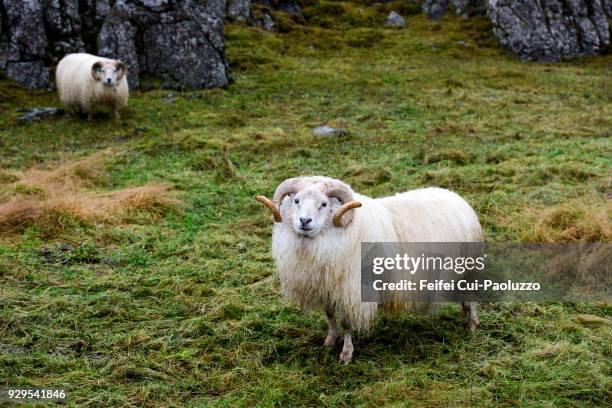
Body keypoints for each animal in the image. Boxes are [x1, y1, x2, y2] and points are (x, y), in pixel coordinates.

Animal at [256, 175, 480, 364]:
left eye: (324, 204)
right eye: (296, 201)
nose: (304, 221)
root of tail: (456, 196)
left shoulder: (352, 290)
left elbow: (346, 322)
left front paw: (346, 354)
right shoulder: (327, 285)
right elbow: (329, 314)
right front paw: (330, 340)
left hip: (469, 267)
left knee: (473, 297)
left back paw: (472, 325)